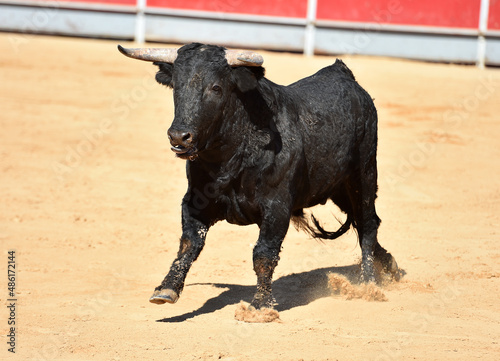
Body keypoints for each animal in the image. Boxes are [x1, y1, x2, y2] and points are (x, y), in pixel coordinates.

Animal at [117, 43, 398, 310]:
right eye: (176, 85)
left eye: (216, 88)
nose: (179, 137)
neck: (233, 153)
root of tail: (342, 73)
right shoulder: (195, 201)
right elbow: (189, 243)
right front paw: (166, 288)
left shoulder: (277, 208)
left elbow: (264, 253)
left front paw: (261, 305)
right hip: (337, 188)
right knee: (365, 223)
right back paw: (390, 268)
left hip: (363, 175)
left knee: (368, 224)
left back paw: (369, 284)